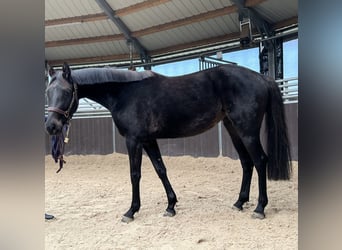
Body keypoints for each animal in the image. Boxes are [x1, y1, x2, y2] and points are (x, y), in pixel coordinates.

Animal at [45, 62, 292, 221]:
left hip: (247, 130)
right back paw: (240, 202)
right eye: (48, 92)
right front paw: (171, 206)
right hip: (233, 129)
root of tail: (262, 77)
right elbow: (160, 169)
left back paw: (259, 208)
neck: (124, 93)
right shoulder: (148, 140)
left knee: (260, 161)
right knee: (246, 163)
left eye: (66, 92)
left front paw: (131, 211)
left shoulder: (134, 140)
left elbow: (135, 174)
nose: (51, 126)